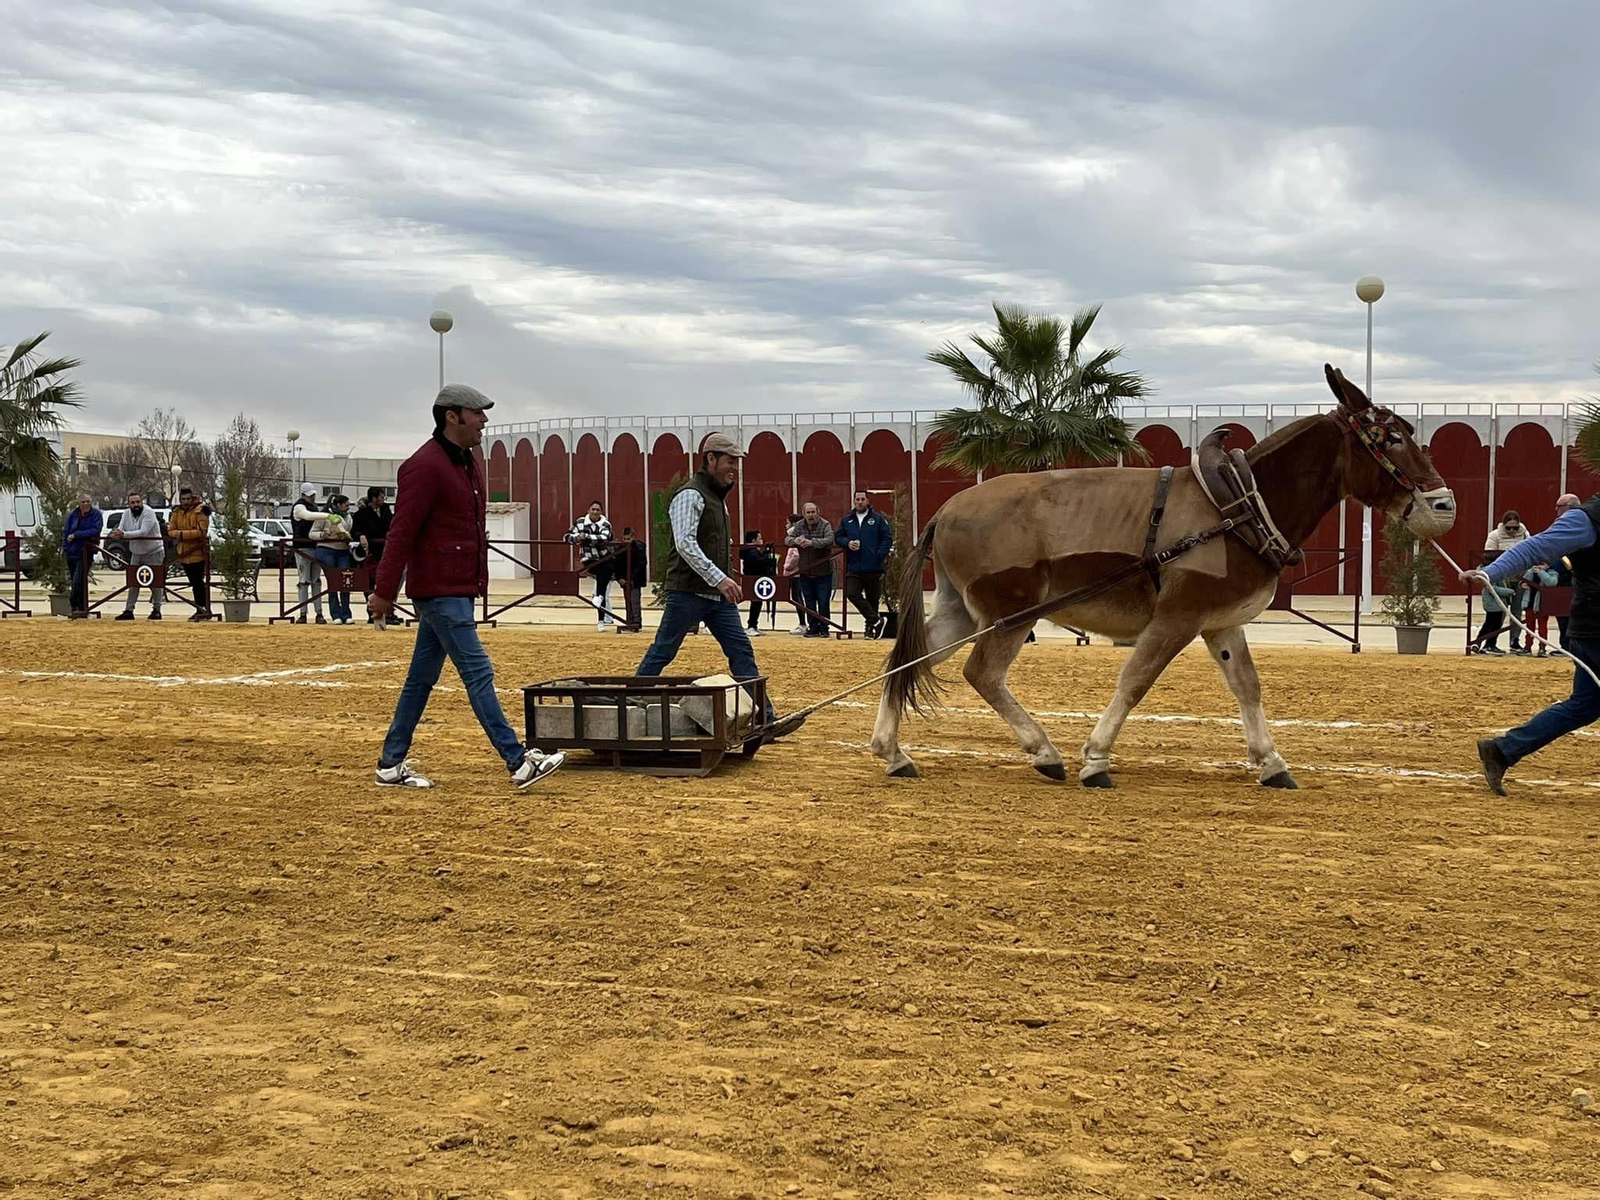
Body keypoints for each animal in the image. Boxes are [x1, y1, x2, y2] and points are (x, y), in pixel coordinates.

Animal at [870, 364, 1457, 788]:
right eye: (1390, 438)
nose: (1444, 505)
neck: (1236, 504)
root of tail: (947, 510)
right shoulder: (1178, 618)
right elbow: (1135, 680)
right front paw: (1096, 758)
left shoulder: (1220, 622)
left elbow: (1247, 685)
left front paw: (1270, 761)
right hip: (1011, 614)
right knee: (983, 674)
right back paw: (1044, 752)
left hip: (963, 611)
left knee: (905, 660)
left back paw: (892, 752)